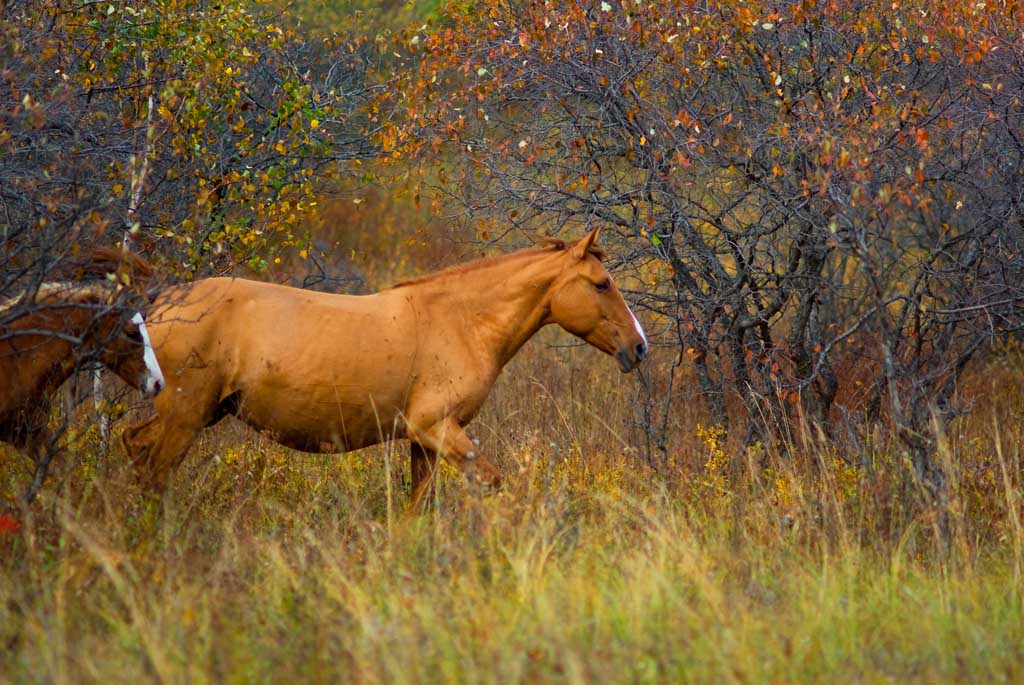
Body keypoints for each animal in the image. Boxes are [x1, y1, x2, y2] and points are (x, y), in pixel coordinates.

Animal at [121, 229, 647, 507]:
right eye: (601, 284)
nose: (638, 347)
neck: (462, 321)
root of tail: (161, 303)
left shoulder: (424, 441)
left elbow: (420, 506)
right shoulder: (436, 428)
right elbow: (489, 482)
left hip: (200, 413)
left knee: (136, 449)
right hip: (186, 416)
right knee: (153, 468)